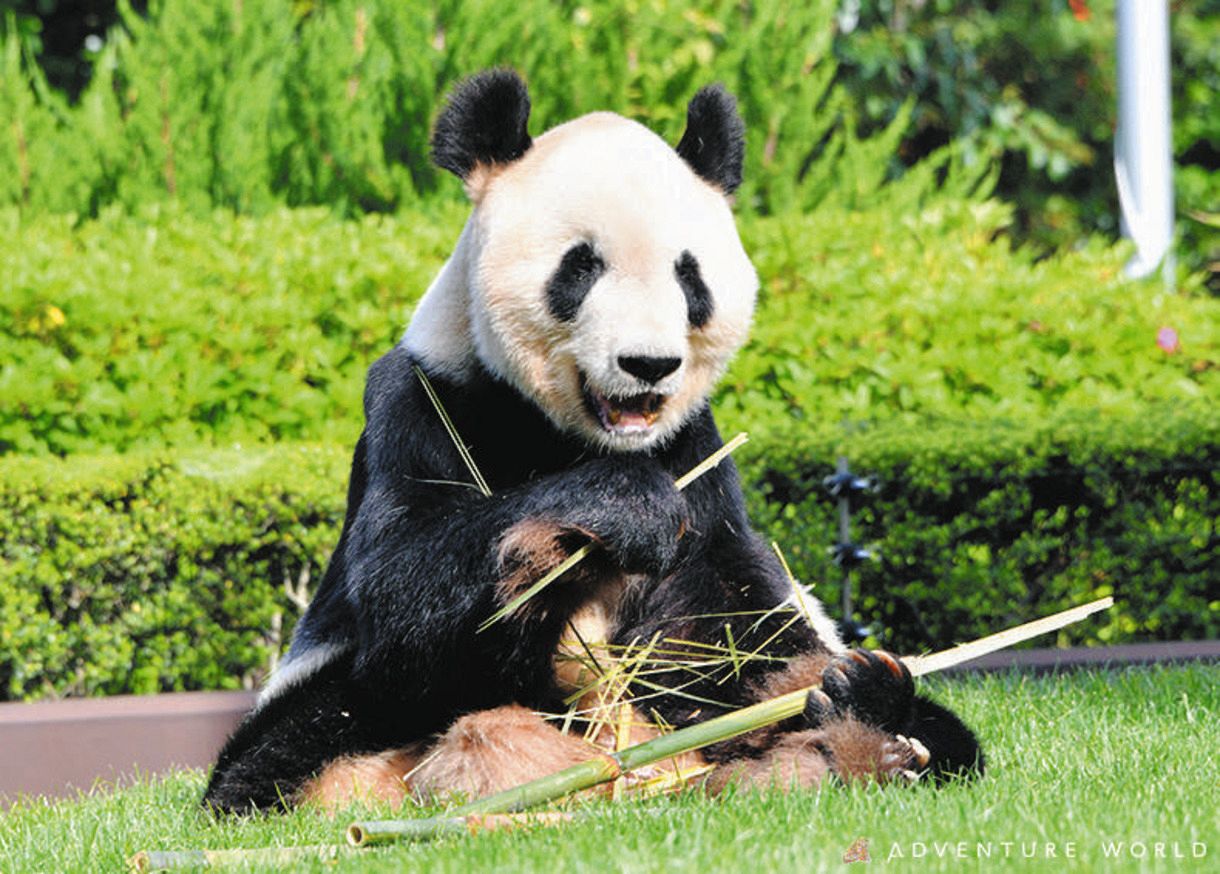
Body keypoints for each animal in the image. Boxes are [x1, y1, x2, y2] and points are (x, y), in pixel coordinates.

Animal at [202, 71, 980, 815]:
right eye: (580, 267)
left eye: (688, 275)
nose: (648, 363)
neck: (578, 437)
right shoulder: (421, 402)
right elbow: (404, 602)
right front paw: (615, 510)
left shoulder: (696, 453)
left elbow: (722, 622)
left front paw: (829, 697)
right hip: (320, 717)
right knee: (302, 745)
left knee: (933, 733)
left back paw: (857, 734)